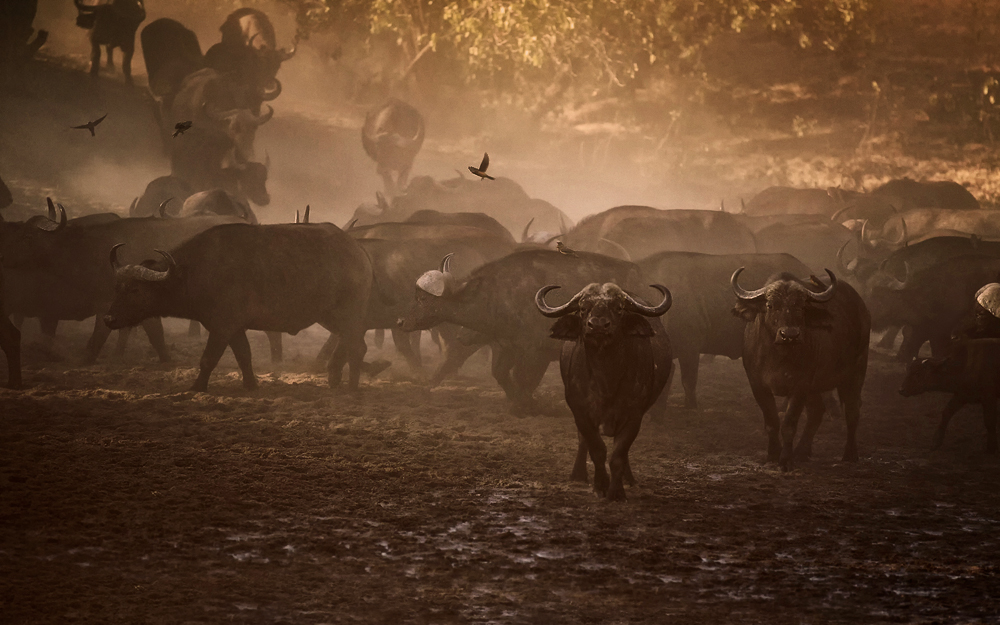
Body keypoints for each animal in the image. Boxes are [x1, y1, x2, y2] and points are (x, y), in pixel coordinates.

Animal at [104, 223, 376, 390]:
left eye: (135, 290)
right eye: (116, 287)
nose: (109, 319)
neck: (192, 271)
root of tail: (358, 251)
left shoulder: (222, 326)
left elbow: (208, 358)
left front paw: (197, 387)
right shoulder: (234, 328)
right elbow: (244, 355)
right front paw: (250, 384)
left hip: (348, 314)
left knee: (357, 347)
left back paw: (351, 388)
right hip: (330, 317)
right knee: (348, 344)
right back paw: (335, 380)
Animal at [536, 280, 676, 500]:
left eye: (618, 308)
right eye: (583, 308)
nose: (598, 326)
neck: (606, 379)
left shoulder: (634, 415)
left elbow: (619, 453)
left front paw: (617, 492)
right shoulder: (581, 412)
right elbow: (597, 449)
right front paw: (600, 485)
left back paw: (629, 479)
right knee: (582, 442)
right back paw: (578, 475)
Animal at [732, 266, 872, 468]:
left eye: (800, 306)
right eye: (770, 305)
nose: (789, 335)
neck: (779, 356)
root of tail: (862, 308)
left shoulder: (801, 385)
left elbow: (789, 423)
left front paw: (785, 460)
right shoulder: (757, 385)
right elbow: (772, 422)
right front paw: (773, 455)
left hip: (856, 371)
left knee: (852, 410)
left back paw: (850, 454)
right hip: (817, 387)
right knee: (817, 412)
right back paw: (802, 451)